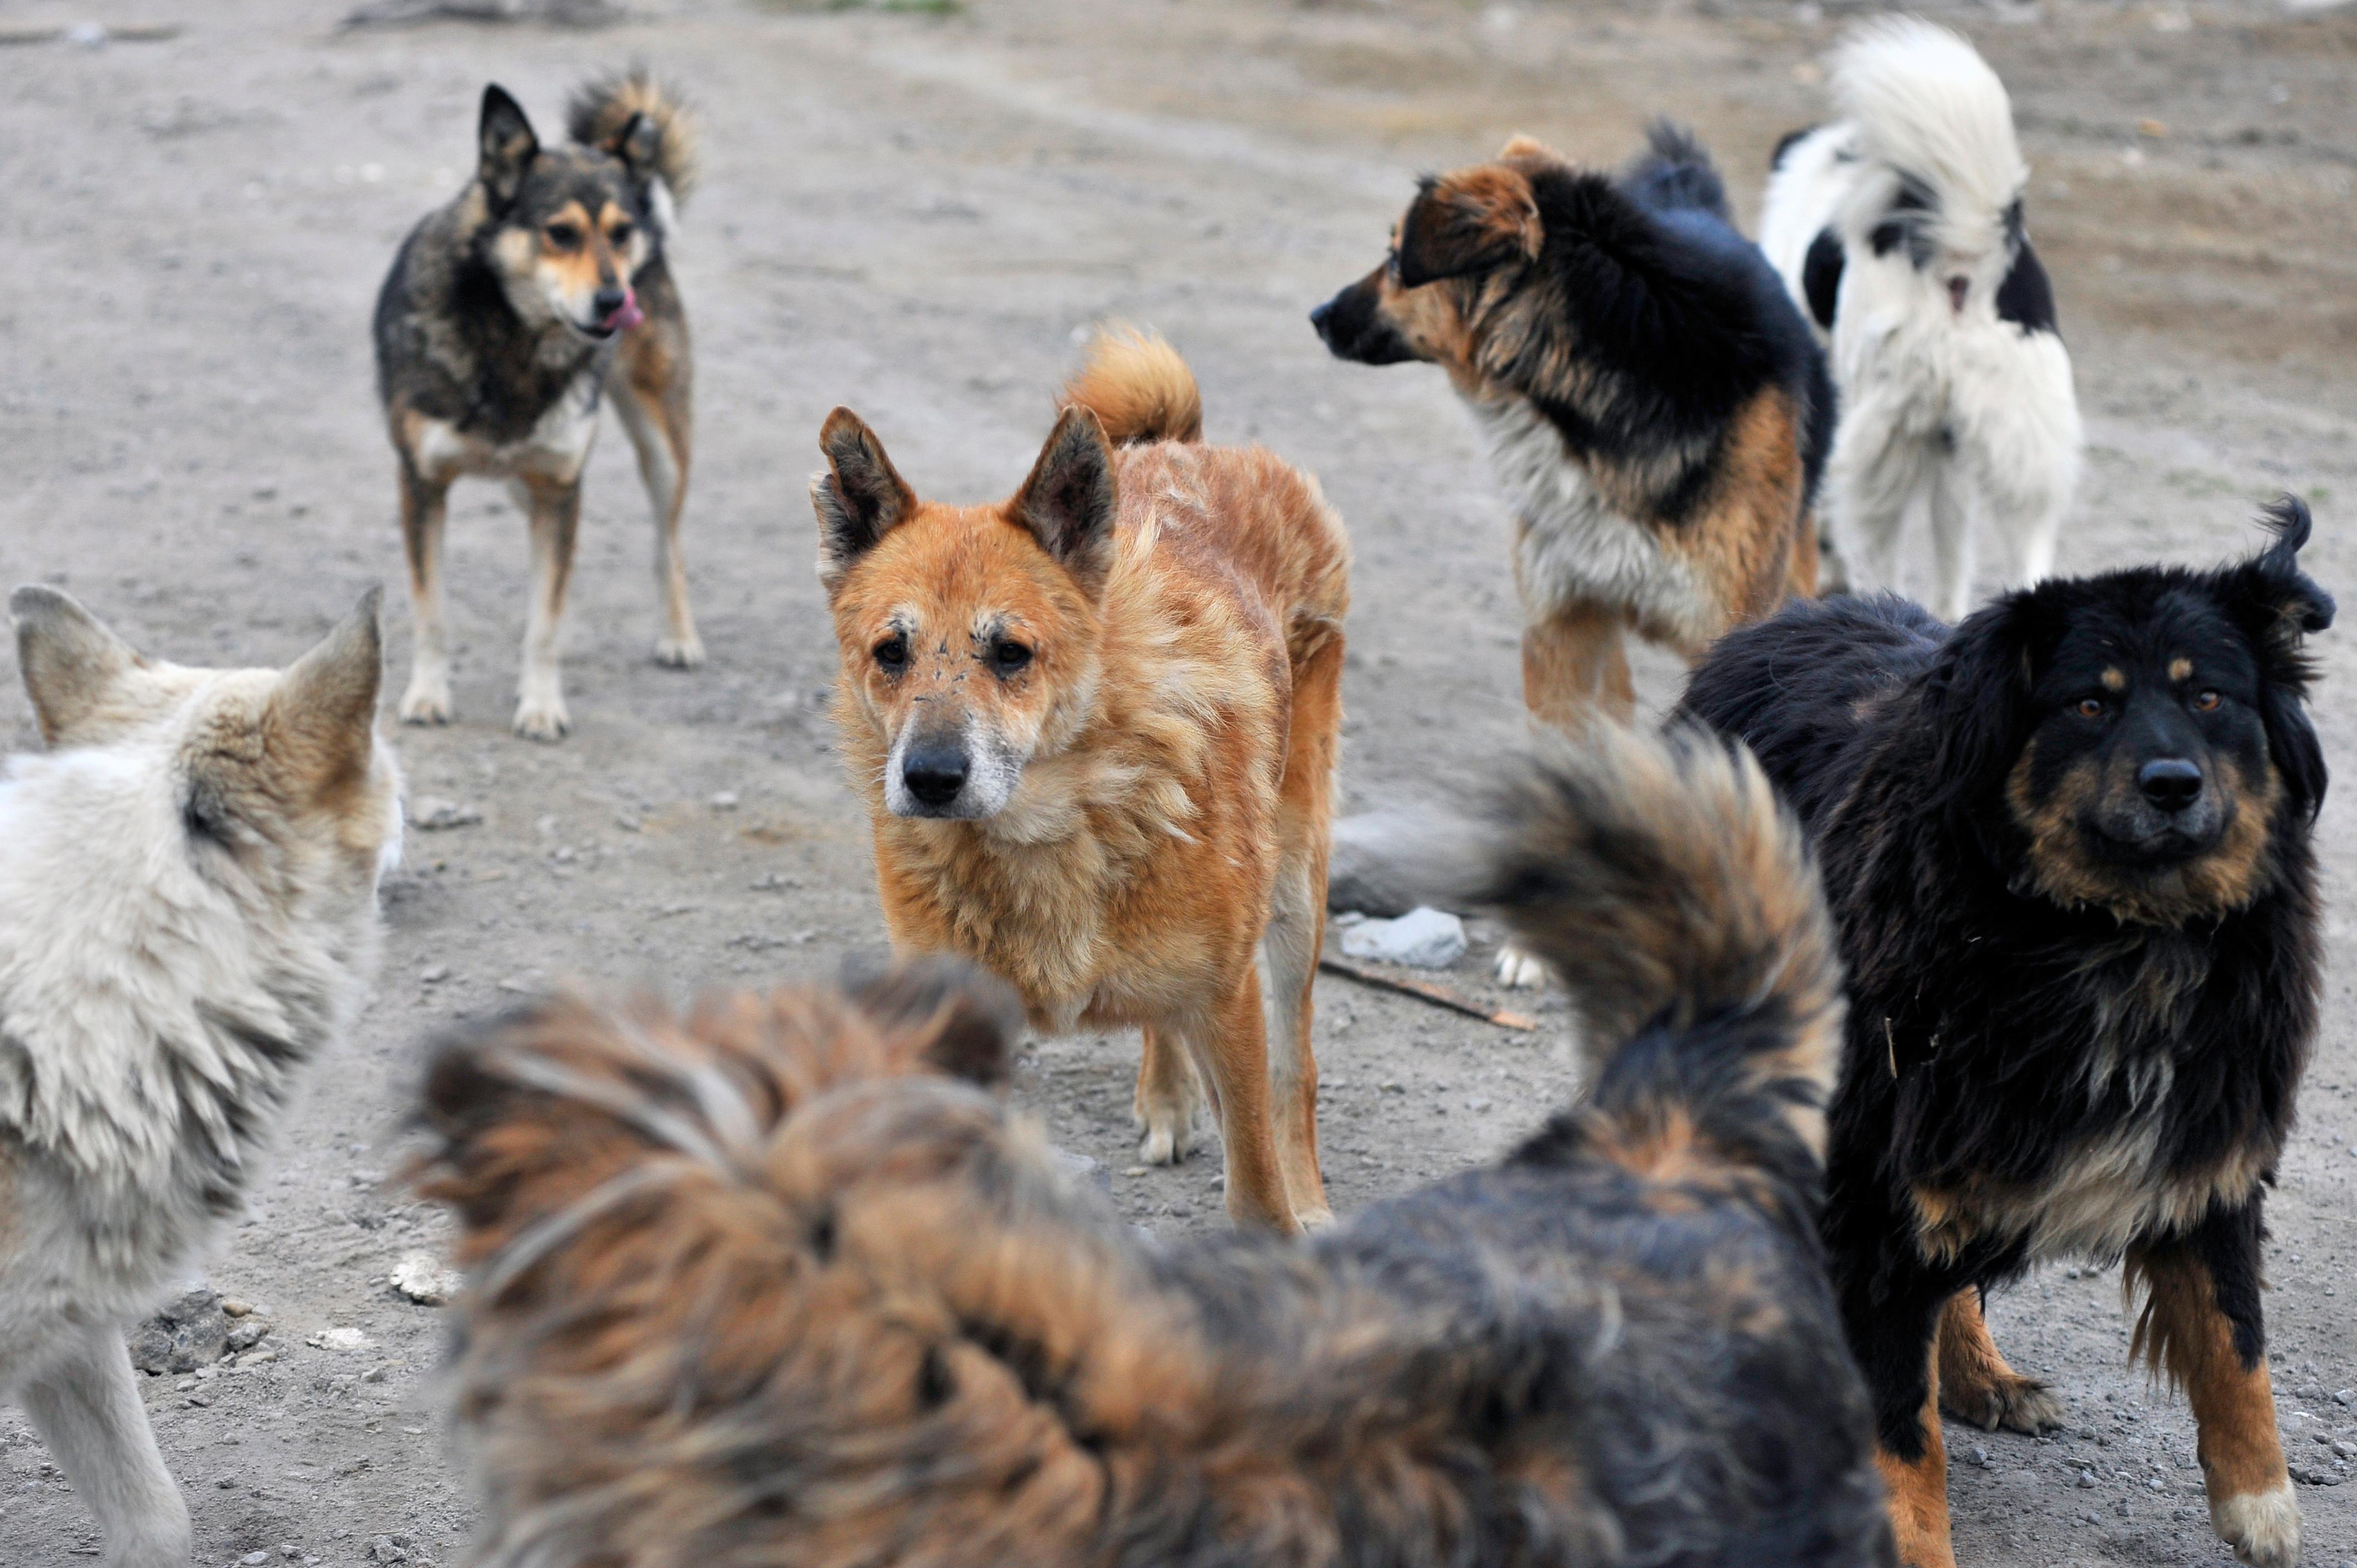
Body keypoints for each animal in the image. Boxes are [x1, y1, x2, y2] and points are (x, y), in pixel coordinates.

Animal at [377, 70, 697, 735]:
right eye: (561, 233)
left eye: (620, 234)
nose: (616, 302)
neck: (513, 338)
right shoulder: (422, 485)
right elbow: (431, 609)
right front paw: (427, 695)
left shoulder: (561, 491)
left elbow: (546, 621)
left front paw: (542, 705)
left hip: (662, 446)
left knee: (669, 542)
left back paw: (678, 635)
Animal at [1687, 497, 2328, 1565]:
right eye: (2089, 706)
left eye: (2210, 697)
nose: (2173, 784)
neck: (2113, 935)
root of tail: (1779, 623)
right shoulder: (1879, 1166)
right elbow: (1897, 1416)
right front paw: (1909, 1540)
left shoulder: (2206, 1141)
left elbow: (2235, 1336)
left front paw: (2263, 1507)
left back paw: (1982, 1374)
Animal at [1772, 18, 2083, 622]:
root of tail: (1962, 259)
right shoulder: (1950, 452)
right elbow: (1952, 552)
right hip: (2021, 446)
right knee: (2027, 557)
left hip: (1881, 446)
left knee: (1878, 557)